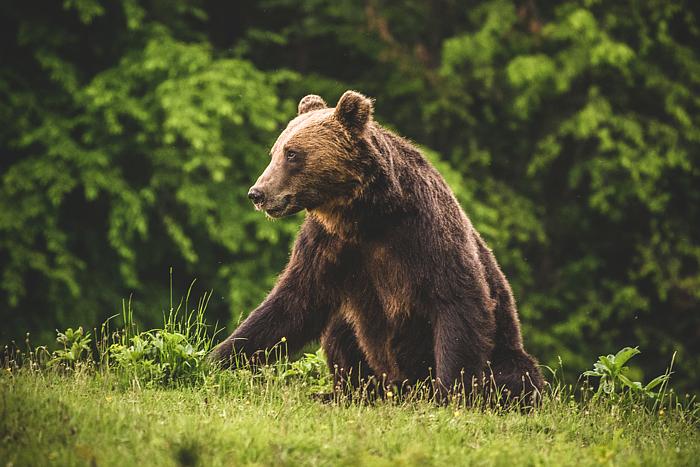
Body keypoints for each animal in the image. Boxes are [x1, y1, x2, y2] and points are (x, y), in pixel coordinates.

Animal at [211, 91, 544, 402]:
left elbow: (458, 301)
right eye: (275, 151)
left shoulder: (426, 233)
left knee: (517, 373)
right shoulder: (328, 244)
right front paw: (217, 360)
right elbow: (292, 304)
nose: (257, 193)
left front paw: (450, 394)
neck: (365, 217)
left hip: (505, 350)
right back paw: (340, 394)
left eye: (292, 154)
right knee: (341, 333)